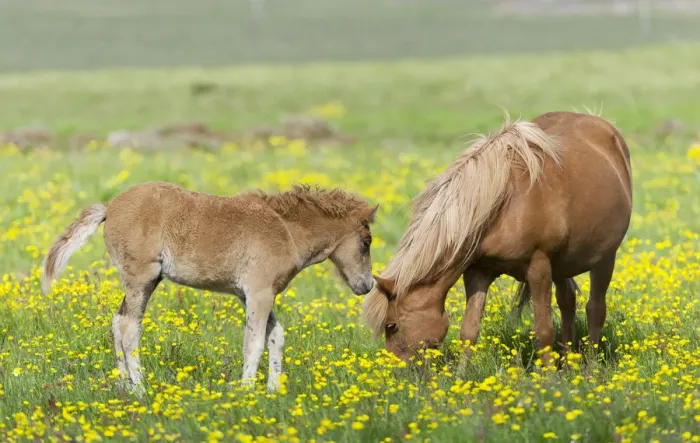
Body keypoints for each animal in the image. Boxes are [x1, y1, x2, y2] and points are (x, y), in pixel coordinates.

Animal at [41, 181, 379, 394]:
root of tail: (110, 207)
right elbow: (254, 341)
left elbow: (275, 337)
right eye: (366, 242)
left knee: (116, 322)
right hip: (142, 277)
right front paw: (247, 391)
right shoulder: (259, 292)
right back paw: (140, 389)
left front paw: (273, 390)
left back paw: (124, 386)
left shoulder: (254, 294)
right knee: (128, 327)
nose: (366, 285)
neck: (287, 232)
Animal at [362, 111, 632, 368]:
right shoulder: (478, 271)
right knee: (568, 301)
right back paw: (569, 364)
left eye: (391, 326)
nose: (399, 373)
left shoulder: (539, 267)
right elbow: (469, 331)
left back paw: (590, 369)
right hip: (563, 264)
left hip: (605, 259)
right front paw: (462, 377)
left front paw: (549, 379)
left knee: (595, 309)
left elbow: (544, 330)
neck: (504, 200)